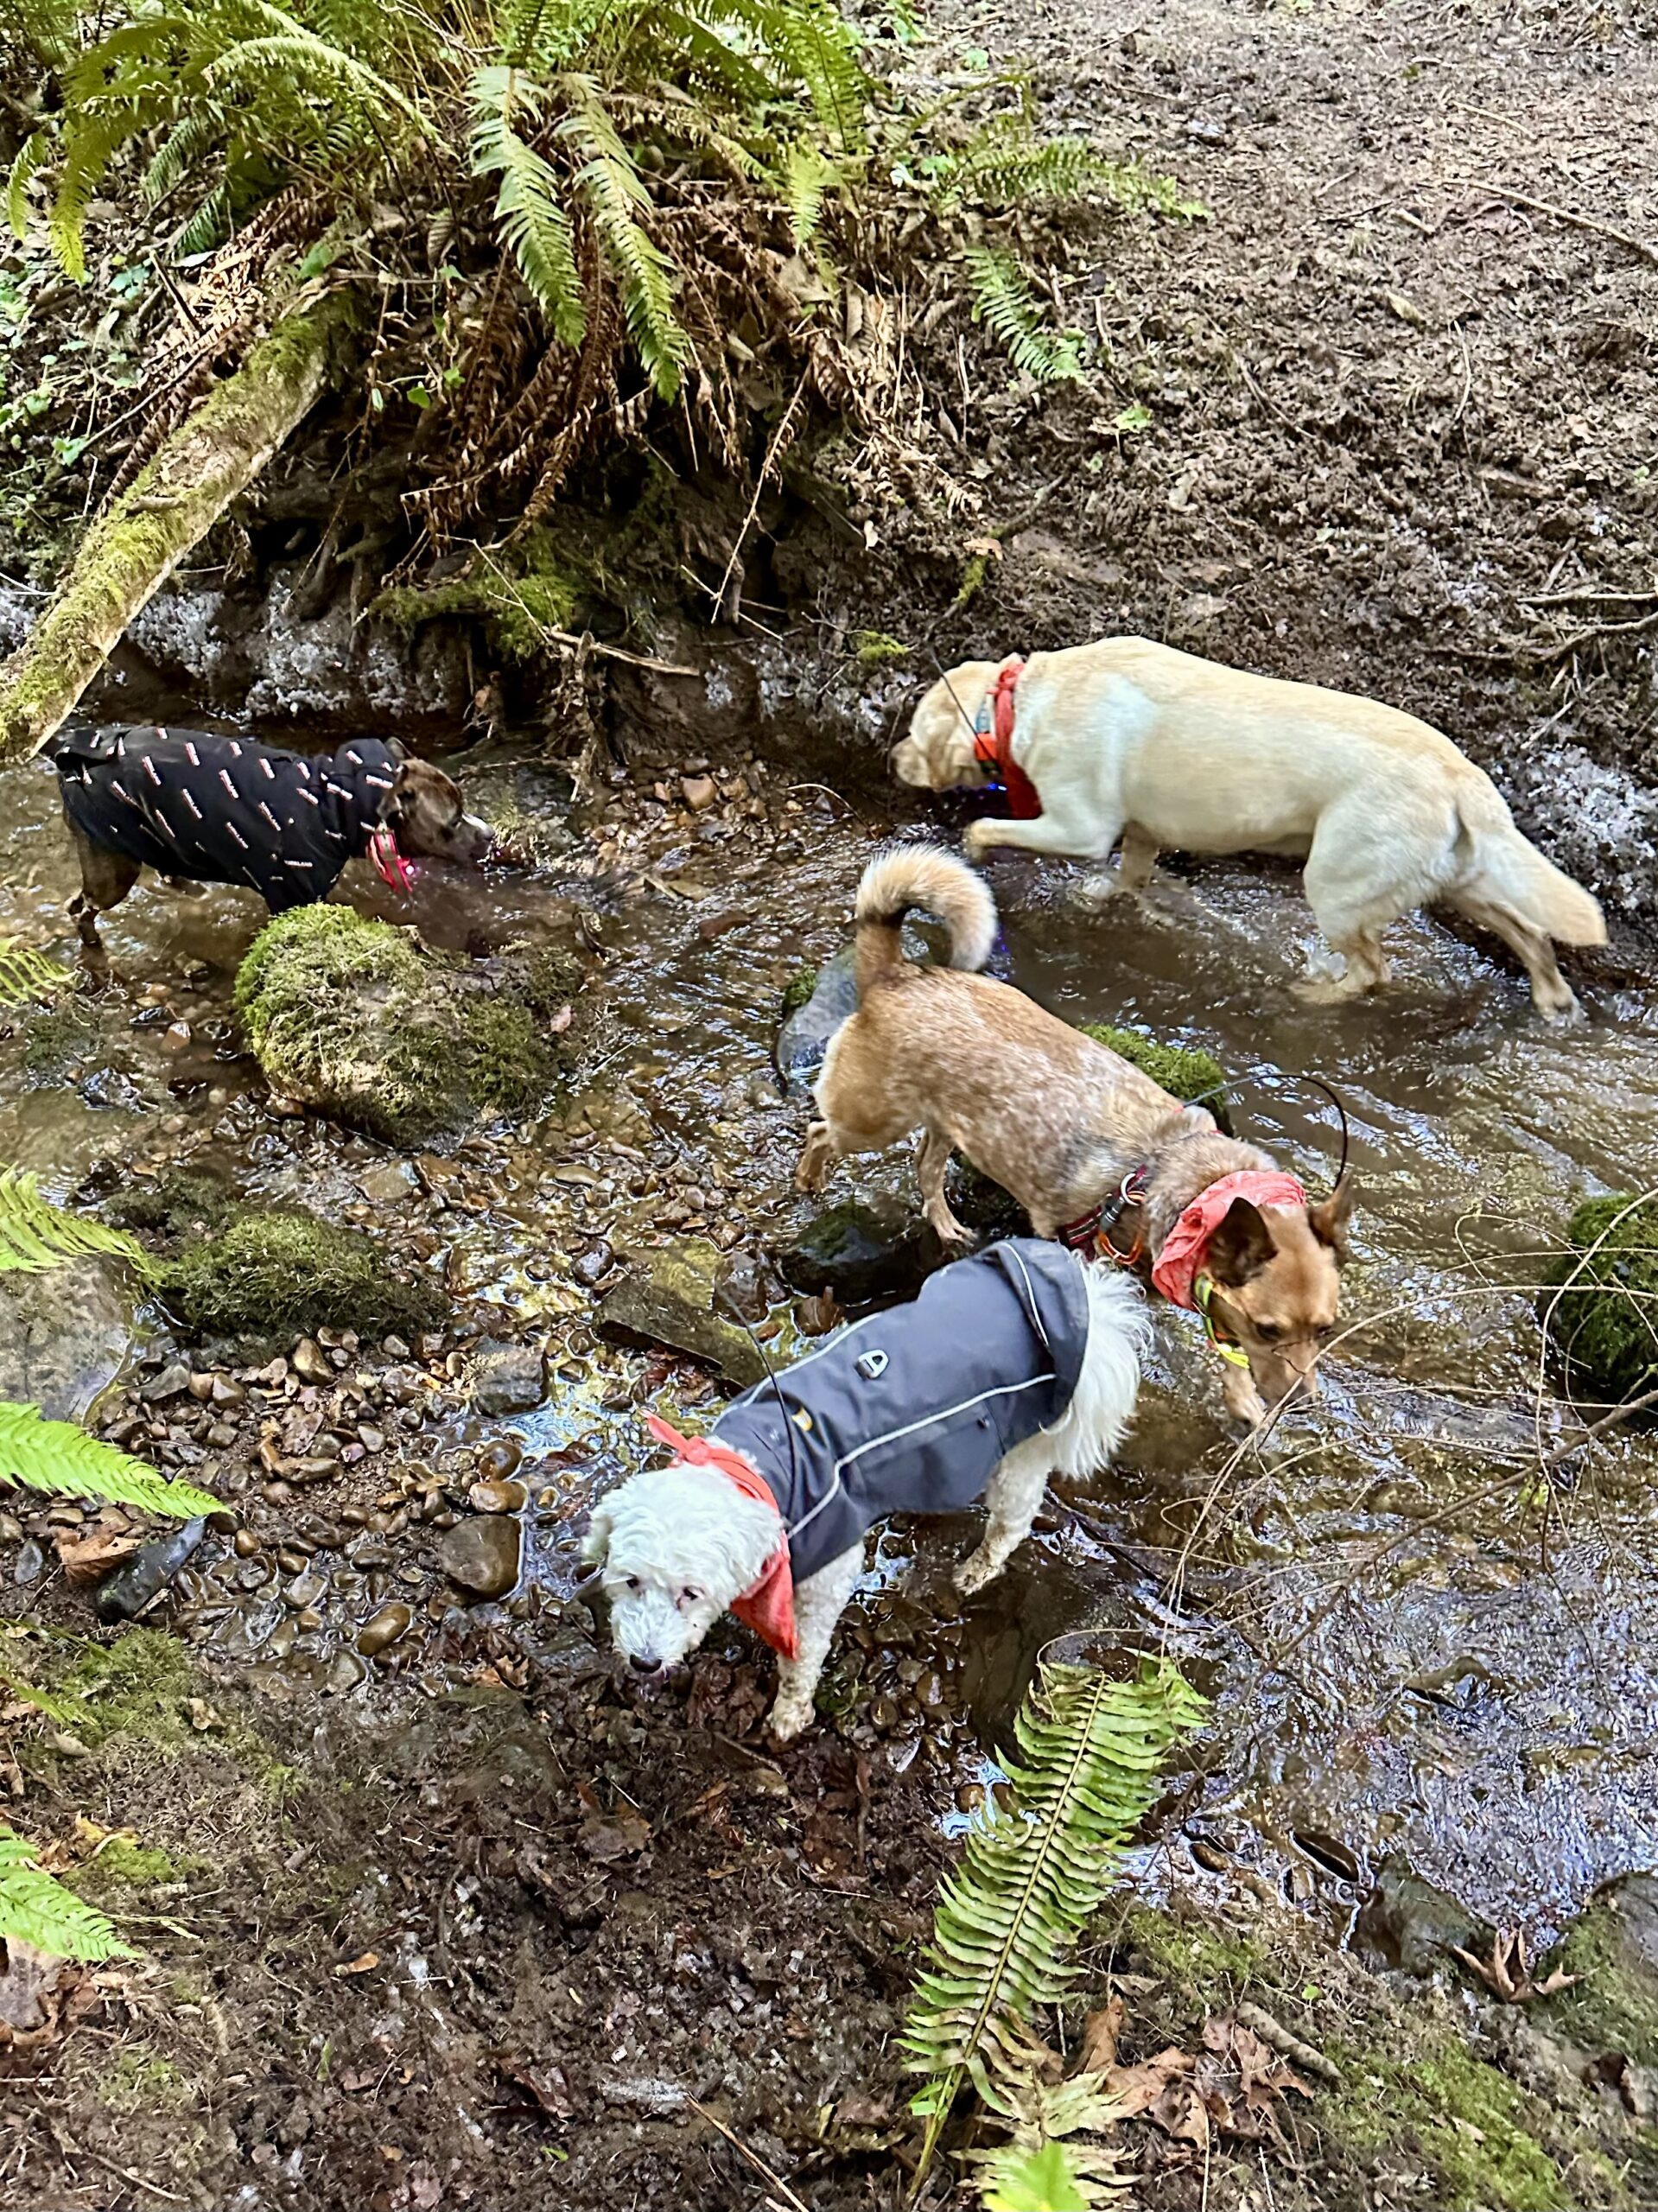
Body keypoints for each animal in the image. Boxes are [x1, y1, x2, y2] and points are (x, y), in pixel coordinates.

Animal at [588, 1247, 1158, 1743]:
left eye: (691, 1592)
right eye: (630, 1581)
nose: (644, 1661)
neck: (758, 1465)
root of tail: (1096, 1313)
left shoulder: (825, 1574)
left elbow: (802, 1657)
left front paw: (789, 1713)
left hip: (1019, 1449)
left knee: (1014, 1520)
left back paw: (978, 1568)